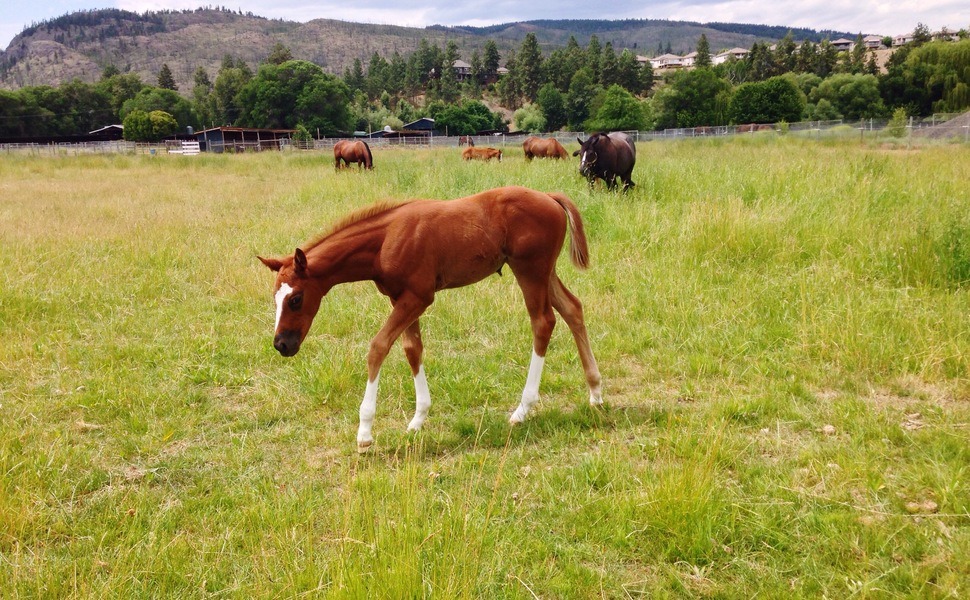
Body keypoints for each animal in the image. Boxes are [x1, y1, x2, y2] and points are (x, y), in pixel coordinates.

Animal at [260, 185, 604, 452]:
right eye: (275, 297)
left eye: (296, 299)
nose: (282, 344)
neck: (385, 239)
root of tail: (550, 197)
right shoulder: (400, 297)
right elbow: (412, 349)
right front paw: (418, 419)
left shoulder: (419, 297)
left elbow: (378, 347)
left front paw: (365, 432)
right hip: (544, 272)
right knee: (573, 309)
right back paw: (596, 393)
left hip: (530, 270)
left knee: (543, 322)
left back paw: (523, 408)